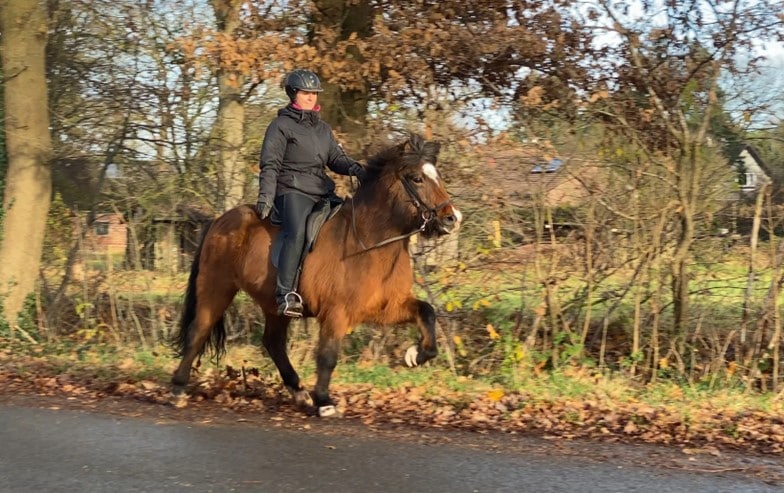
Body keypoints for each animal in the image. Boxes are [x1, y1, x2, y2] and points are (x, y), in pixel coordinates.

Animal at [171, 133, 462, 417]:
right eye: (417, 178)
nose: (452, 218)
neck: (369, 242)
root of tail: (220, 220)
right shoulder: (336, 313)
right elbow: (328, 356)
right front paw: (324, 400)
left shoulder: (385, 307)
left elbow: (427, 312)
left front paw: (415, 354)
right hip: (216, 287)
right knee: (199, 330)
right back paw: (178, 388)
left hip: (274, 305)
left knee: (273, 343)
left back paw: (298, 392)